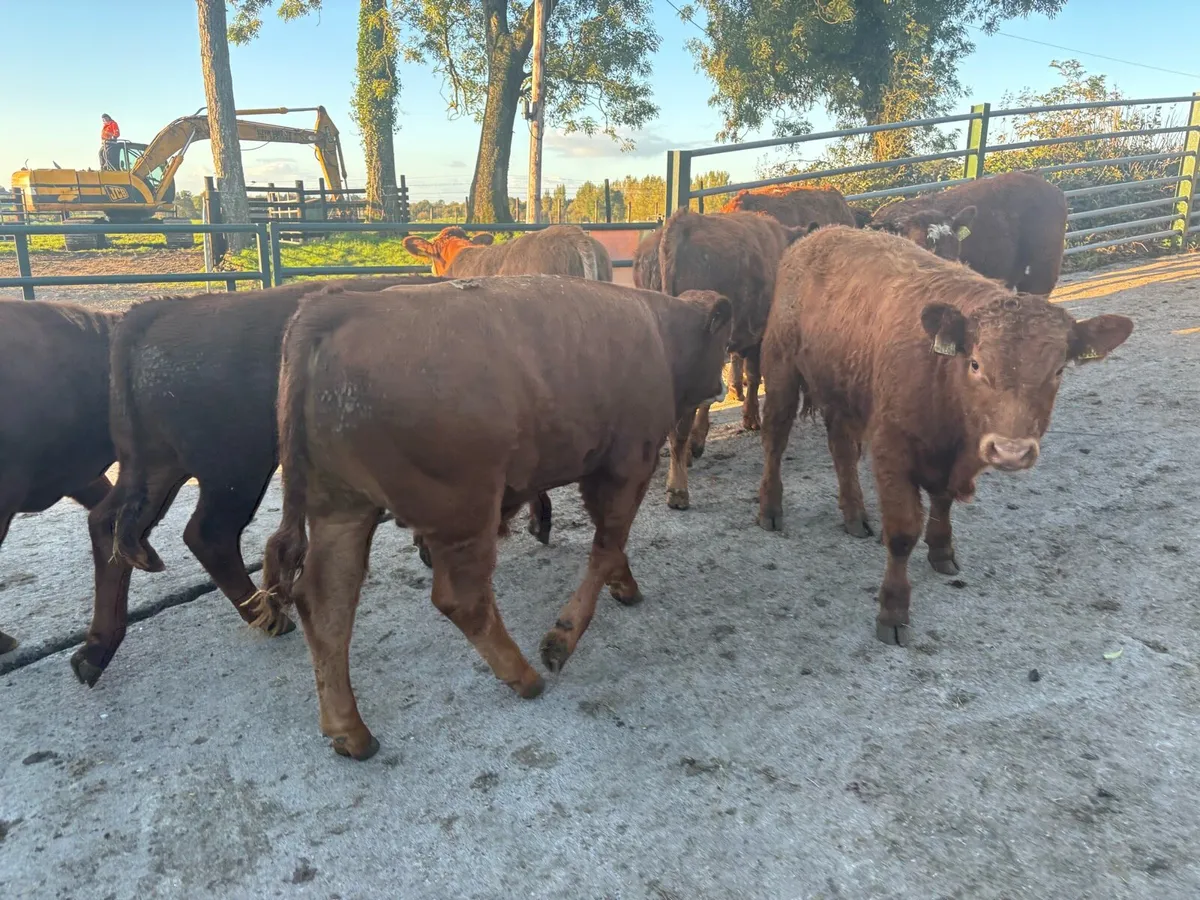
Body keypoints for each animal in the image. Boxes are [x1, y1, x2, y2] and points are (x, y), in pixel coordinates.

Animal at [72, 276, 458, 687]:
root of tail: (158, 309)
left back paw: (93, 653)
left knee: (107, 524)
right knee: (208, 534)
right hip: (236, 471)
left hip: (153, 468)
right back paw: (269, 617)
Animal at [251, 275, 732, 760]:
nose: (721, 385)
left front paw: (625, 586)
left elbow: (611, 548)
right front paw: (562, 638)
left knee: (325, 602)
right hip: (463, 513)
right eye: (723, 342)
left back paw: (350, 732)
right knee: (461, 599)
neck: (660, 330)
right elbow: (606, 546)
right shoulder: (627, 466)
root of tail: (334, 309)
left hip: (342, 511)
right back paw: (524, 677)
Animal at [756, 226, 1133, 647]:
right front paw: (893, 610)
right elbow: (902, 533)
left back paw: (854, 515)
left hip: (843, 394)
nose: (1011, 451)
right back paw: (770, 509)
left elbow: (943, 502)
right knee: (775, 440)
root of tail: (817, 237)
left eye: (1058, 371)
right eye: (976, 364)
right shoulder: (892, 451)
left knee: (841, 451)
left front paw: (941, 550)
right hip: (781, 372)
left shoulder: (951, 461)